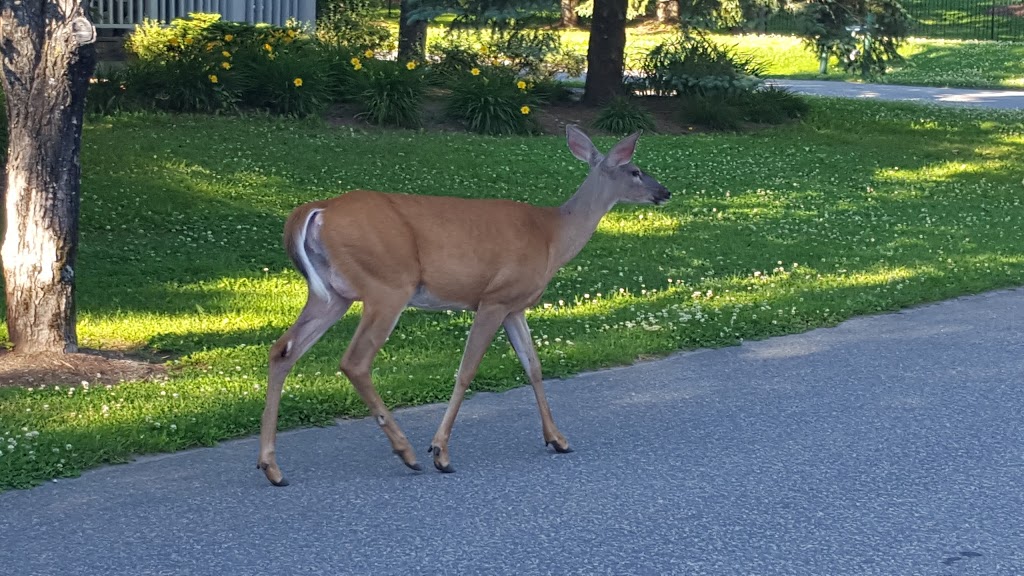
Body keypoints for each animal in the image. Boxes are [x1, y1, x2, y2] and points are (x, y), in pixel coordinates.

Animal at [260, 125, 667, 483]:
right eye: (635, 170)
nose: (665, 191)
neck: (553, 236)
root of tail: (319, 208)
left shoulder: (515, 306)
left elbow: (534, 367)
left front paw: (558, 439)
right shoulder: (493, 298)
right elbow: (466, 371)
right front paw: (440, 452)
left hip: (332, 294)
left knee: (282, 350)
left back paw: (271, 467)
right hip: (388, 283)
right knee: (354, 361)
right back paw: (407, 453)